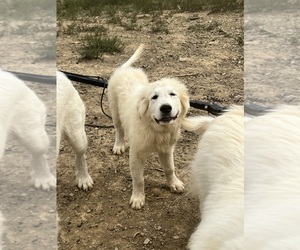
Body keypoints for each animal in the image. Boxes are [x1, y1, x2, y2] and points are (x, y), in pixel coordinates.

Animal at [106, 45, 189, 209]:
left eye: (173, 94)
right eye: (154, 97)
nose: (166, 108)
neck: (156, 129)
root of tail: (124, 69)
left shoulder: (167, 149)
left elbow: (170, 168)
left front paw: (174, 183)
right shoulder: (136, 154)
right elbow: (138, 179)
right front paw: (138, 198)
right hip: (115, 111)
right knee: (119, 129)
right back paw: (119, 145)